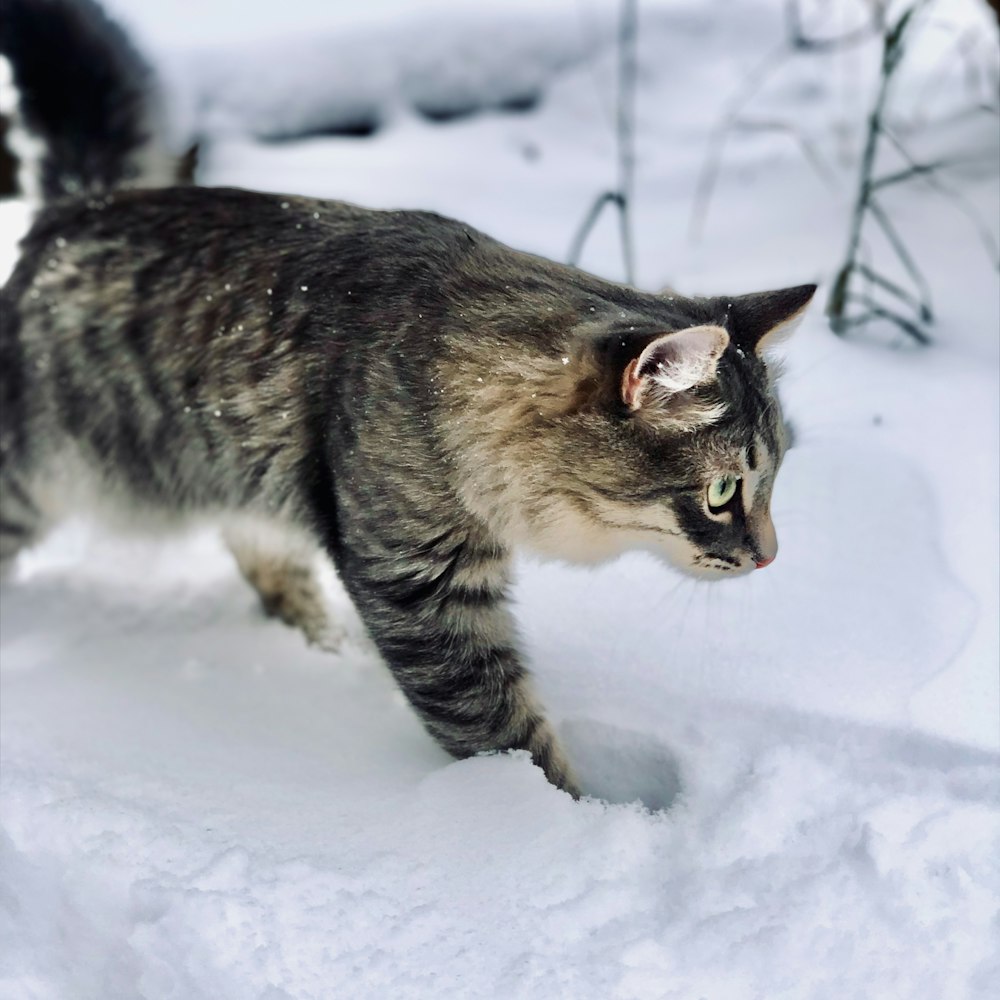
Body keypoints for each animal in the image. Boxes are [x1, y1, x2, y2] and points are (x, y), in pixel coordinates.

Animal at [0, 0, 812, 796]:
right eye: (720, 493)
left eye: (773, 479)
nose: (771, 558)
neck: (444, 364)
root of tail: (72, 211)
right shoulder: (419, 584)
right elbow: (507, 735)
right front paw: (567, 817)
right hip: (34, 474)